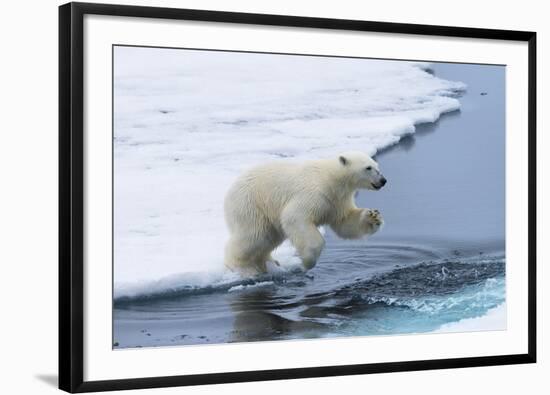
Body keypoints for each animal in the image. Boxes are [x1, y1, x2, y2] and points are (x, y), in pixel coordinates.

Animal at [224, 152, 388, 276]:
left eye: (377, 166)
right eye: (368, 167)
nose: (383, 180)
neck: (331, 178)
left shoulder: (337, 200)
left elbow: (345, 222)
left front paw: (374, 216)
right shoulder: (315, 193)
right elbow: (295, 217)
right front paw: (307, 262)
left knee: (269, 238)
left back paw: (269, 263)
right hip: (251, 204)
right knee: (254, 236)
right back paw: (243, 268)